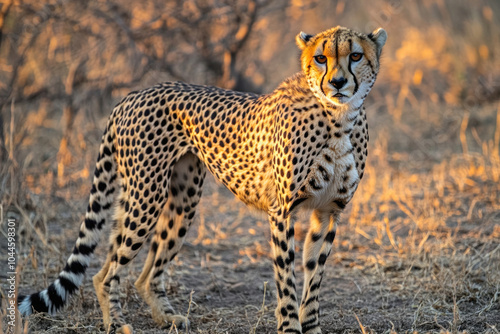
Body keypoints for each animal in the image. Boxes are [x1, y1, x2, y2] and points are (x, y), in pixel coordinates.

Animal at [18, 26, 386, 334]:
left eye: (355, 56)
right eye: (320, 58)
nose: (337, 83)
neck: (339, 118)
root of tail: (133, 94)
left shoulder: (329, 212)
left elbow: (314, 275)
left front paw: (311, 327)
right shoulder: (282, 211)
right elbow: (287, 278)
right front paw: (290, 327)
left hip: (180, 199)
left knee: (131, 270)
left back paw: (165, 317)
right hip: (148, 196)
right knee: (107, 272)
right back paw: (118, 324)